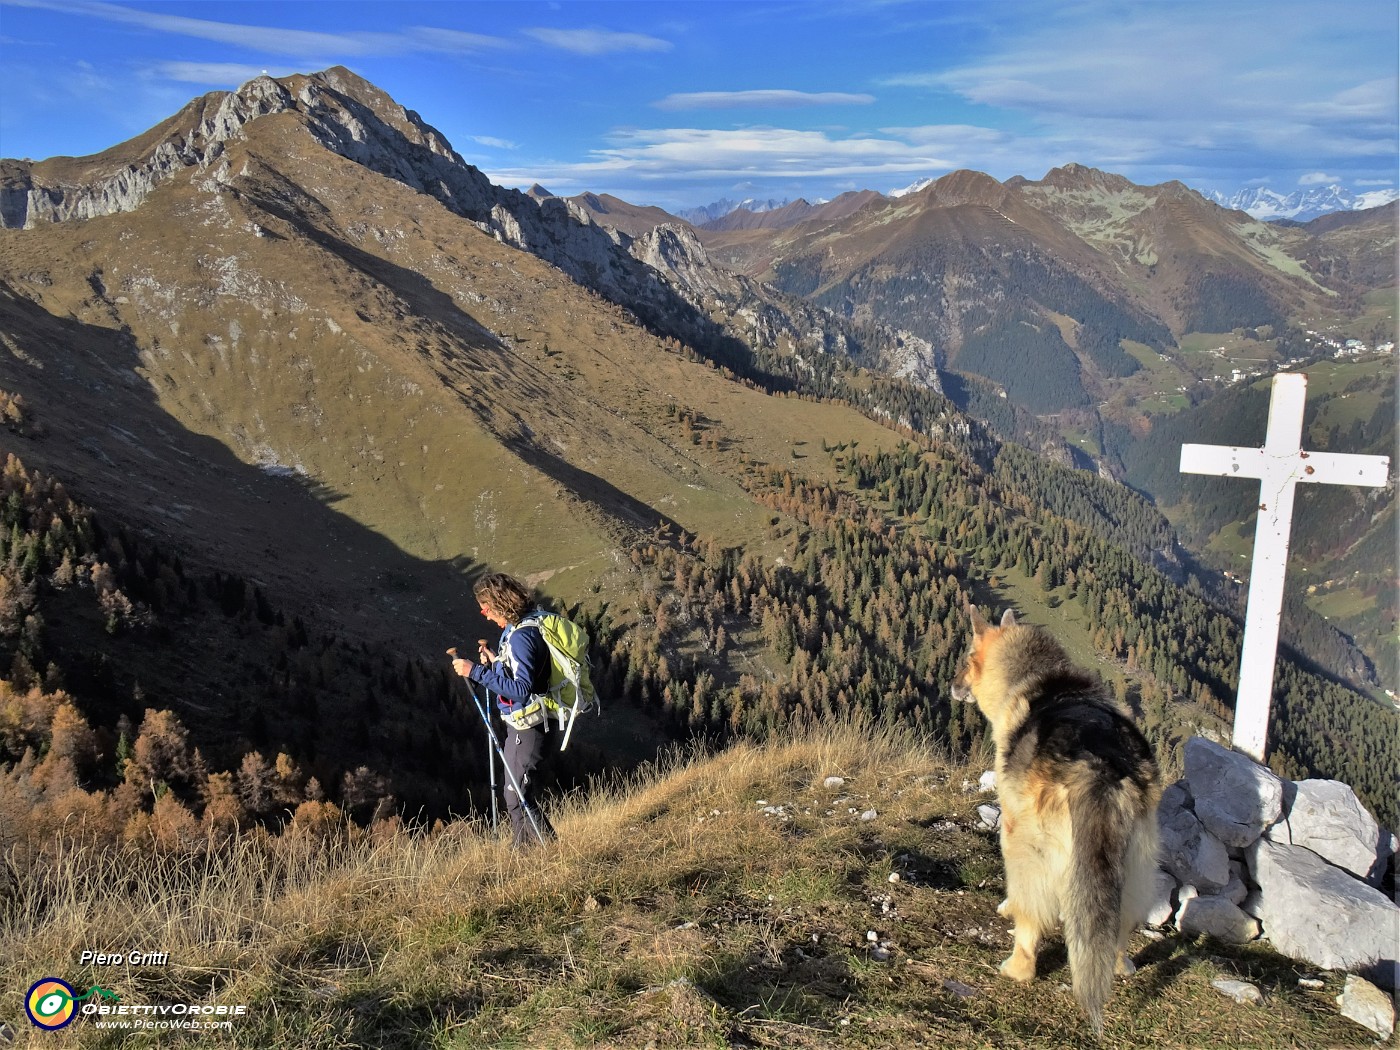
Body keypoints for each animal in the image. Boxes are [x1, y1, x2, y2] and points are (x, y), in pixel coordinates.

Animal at [952, 604, 1159, 1030]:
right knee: (1116, 926)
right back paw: (1119, 964)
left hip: (1030, 846)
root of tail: (1100, 769)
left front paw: (1007, 907)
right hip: (1138, 864)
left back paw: (1018, 967)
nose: (952, 684)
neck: (1032, 676)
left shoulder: (1012, 822)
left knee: (1032, 916)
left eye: (967, 658)